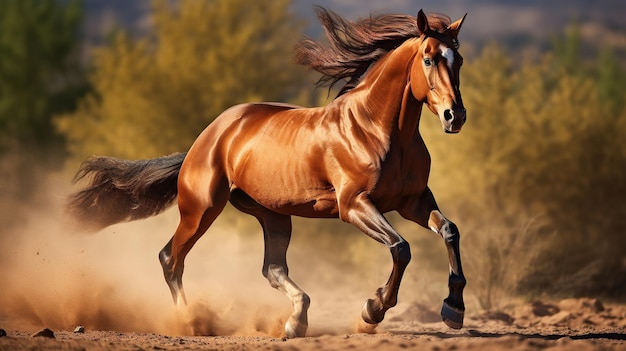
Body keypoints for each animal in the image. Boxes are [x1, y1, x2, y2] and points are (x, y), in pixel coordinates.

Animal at [69, 7, 468, 338]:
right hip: (201, 209)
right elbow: (401, 248)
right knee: (172, 258)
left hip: (273, 214)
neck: (377, 129)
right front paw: (372, 309)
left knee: (272, 268)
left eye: (459, 59)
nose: (455, 116)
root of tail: (205, 139)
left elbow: (449, 230)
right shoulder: (354, 204)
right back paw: (190, 322)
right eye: (429, 59)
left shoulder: (413, 201)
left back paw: (295, 322)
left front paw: (453, 310)